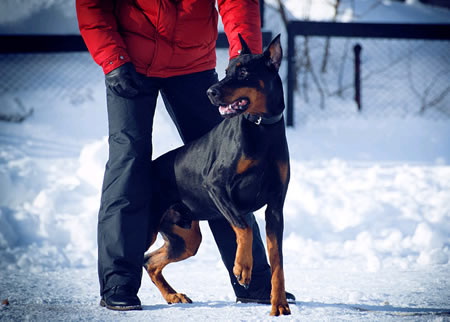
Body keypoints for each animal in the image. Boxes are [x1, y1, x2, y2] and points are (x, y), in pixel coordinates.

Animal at [145, 34, 292, 316]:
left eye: (243, 72)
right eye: (226, 71)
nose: (210, 92)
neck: (262, 130)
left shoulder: (276, 207)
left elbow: (278, 260)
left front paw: (279, 303)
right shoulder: (216, 186)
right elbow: (244, 227)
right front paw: (242, 268)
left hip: (186, 238)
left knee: (150, 261)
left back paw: (173, 295)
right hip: (148, 227)